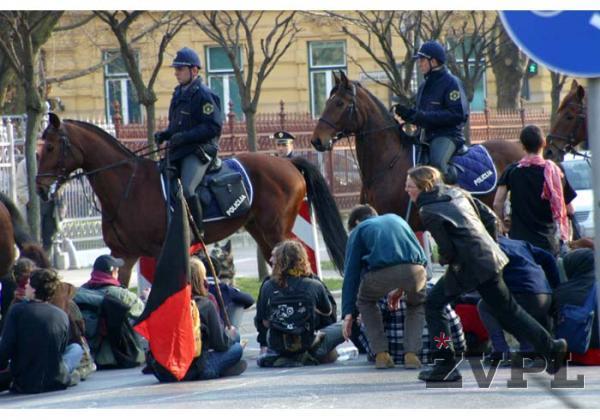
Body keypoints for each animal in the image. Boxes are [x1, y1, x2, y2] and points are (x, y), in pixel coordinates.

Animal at [36, 113, 346, 288]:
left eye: (50, 147)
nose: (40, 187)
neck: (128, 186)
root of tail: (288, 163)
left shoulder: (160, 250)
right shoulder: (124, 254)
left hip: (275, 230)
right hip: (259, 230)